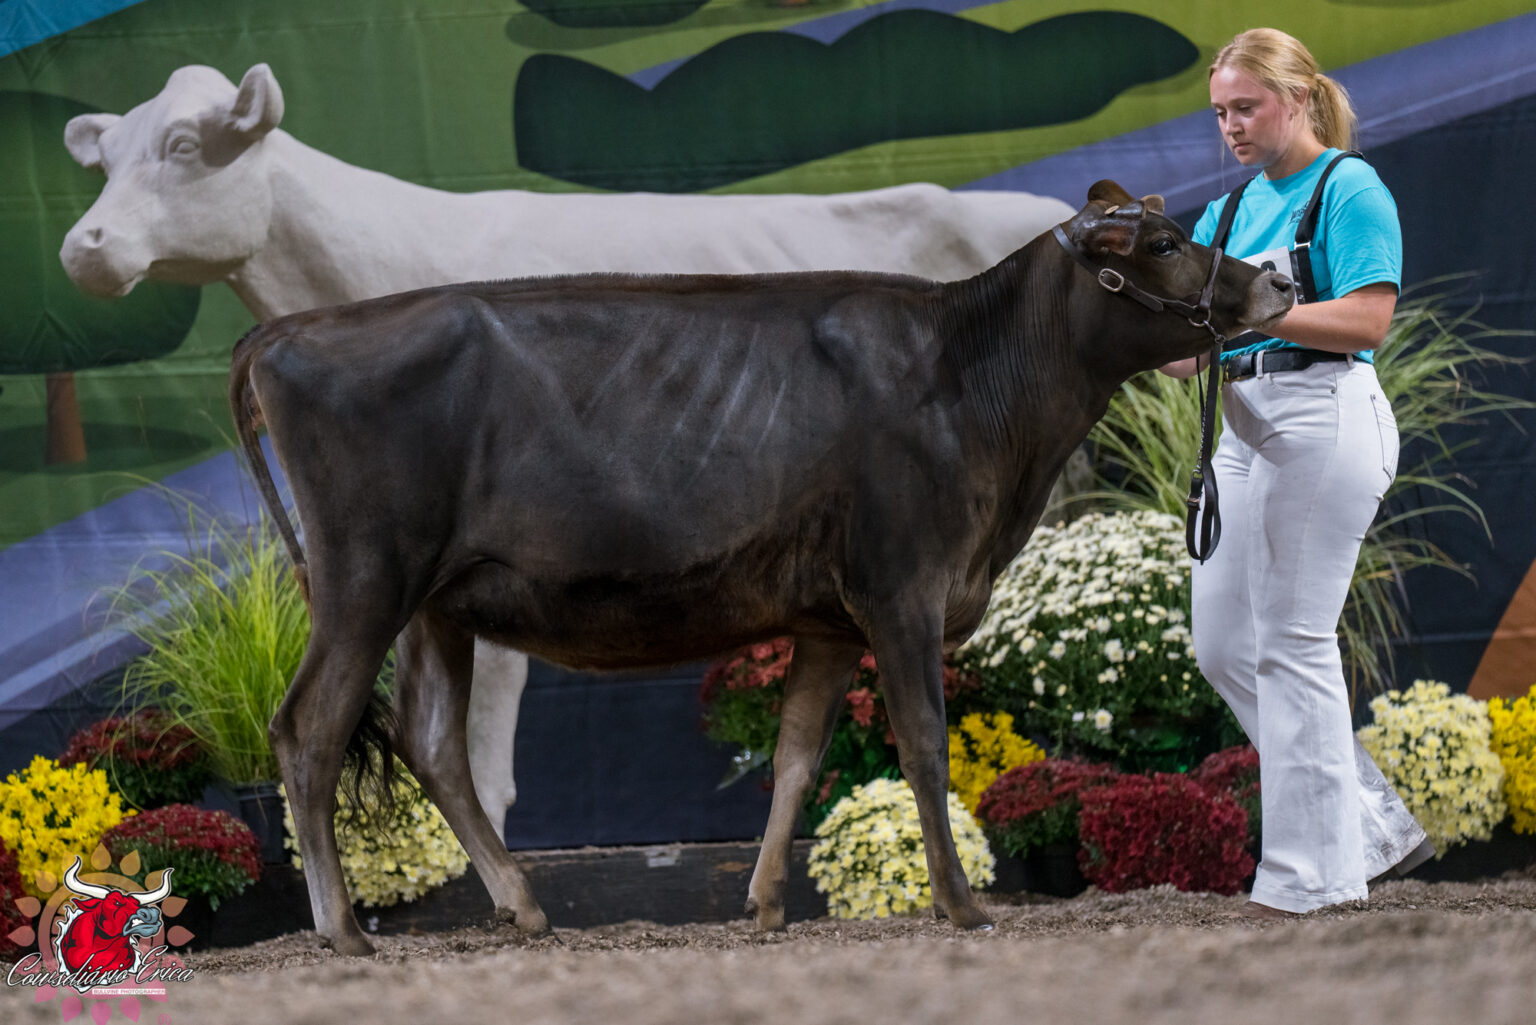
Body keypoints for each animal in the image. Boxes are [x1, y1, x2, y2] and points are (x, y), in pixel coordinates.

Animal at [228, 180, 1293, 954]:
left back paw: (522, 905)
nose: (1279, 284)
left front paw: (767, 902)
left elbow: (794, 758)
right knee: (307, 728)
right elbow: (921, 747)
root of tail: (291, 330)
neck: (978, 392)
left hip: (435, 603)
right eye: (1164, 244)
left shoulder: (827, 618)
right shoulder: (902, 587)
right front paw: (961, 905)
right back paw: (343, 930)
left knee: (432, 739)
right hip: (364, 578)